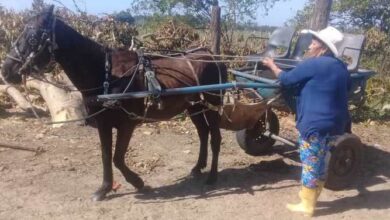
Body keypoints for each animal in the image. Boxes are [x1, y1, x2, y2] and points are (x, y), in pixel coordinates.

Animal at [2, 6, 229, 201]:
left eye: (32, 38)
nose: (6, 70)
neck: (106, 74)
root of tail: (213, 56)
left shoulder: (127, 124)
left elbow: (117, 158)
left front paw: (137, 182)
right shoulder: (103, 123)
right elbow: (106, 156)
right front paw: (104, 188)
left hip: (212, 104)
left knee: (215, 138)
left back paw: (212, 176)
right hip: (195, 107)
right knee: (203, 133)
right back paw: (198, 167)